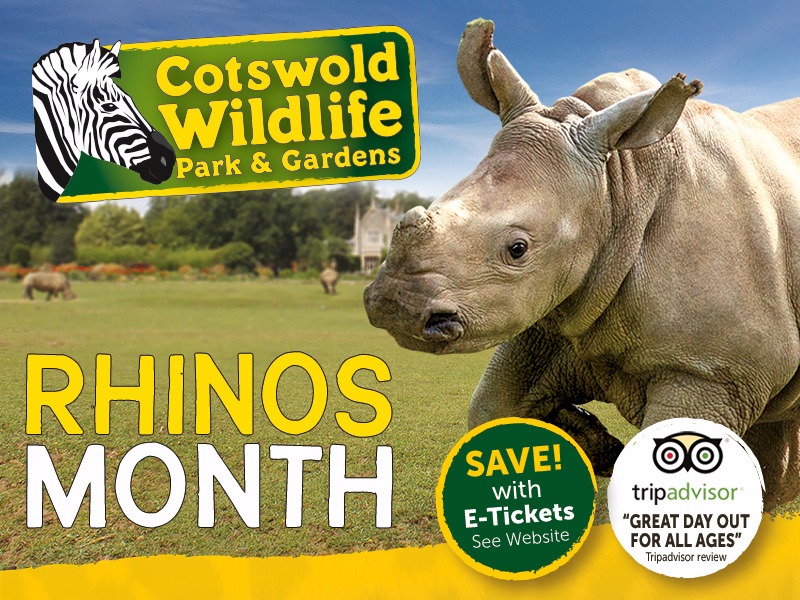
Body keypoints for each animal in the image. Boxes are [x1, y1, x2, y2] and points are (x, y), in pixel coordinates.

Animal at [364, 19, 800, 510]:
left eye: (517, 249)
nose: (395, 305)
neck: (619, 185)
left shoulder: (713, 370)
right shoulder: (554, 319)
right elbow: (490, 408)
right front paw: (600, 447)